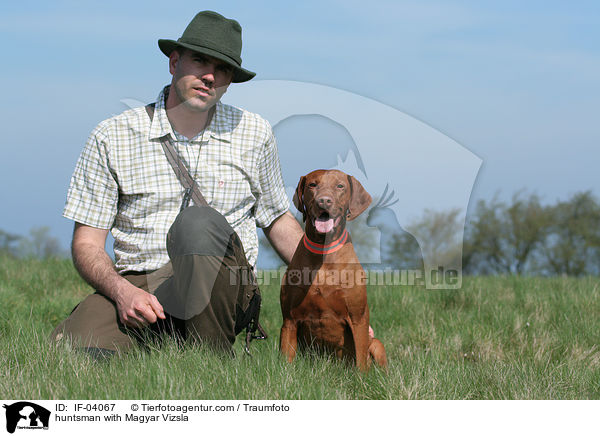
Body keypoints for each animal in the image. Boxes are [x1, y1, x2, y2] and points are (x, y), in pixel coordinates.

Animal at [278, 169, 386, 372]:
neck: (323, 252)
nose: (324, 201)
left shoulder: (358, 319)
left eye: (340, 186)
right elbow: (286, 359)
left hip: (376, 343)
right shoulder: (289, 319)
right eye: (312, 185)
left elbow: (361, 361)